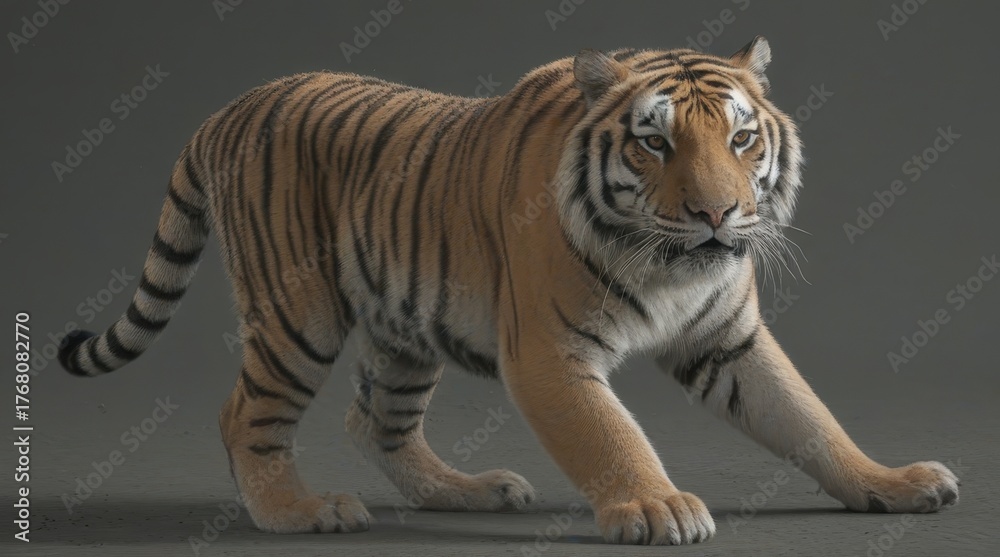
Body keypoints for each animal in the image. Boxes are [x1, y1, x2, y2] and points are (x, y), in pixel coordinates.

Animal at [57, 36, 959, 545]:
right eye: (654, 143)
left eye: (741, 139)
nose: (717, 214)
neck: (671, 264)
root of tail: (227, 109)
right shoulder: (550, 354)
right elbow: (611, 435)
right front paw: (658, 506)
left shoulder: (728, 339)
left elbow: (809, 419)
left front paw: (891, 483)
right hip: (298, 313)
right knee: (244, 411)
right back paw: (299, 511)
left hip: (406, 323)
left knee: (373, 420)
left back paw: (471, 490)